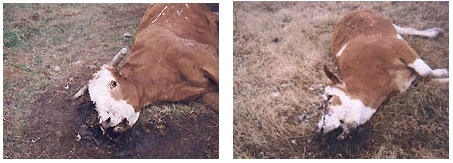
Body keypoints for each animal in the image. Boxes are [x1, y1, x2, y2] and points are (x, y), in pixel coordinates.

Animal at [316, 10, 446, 140]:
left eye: (329, 97)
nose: (320, 129)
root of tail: (347, 15)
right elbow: (428, 77)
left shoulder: (399, 46)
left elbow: (426, 71)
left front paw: (444, 72)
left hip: (387, 24)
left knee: (408, 30)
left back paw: (433, 32)